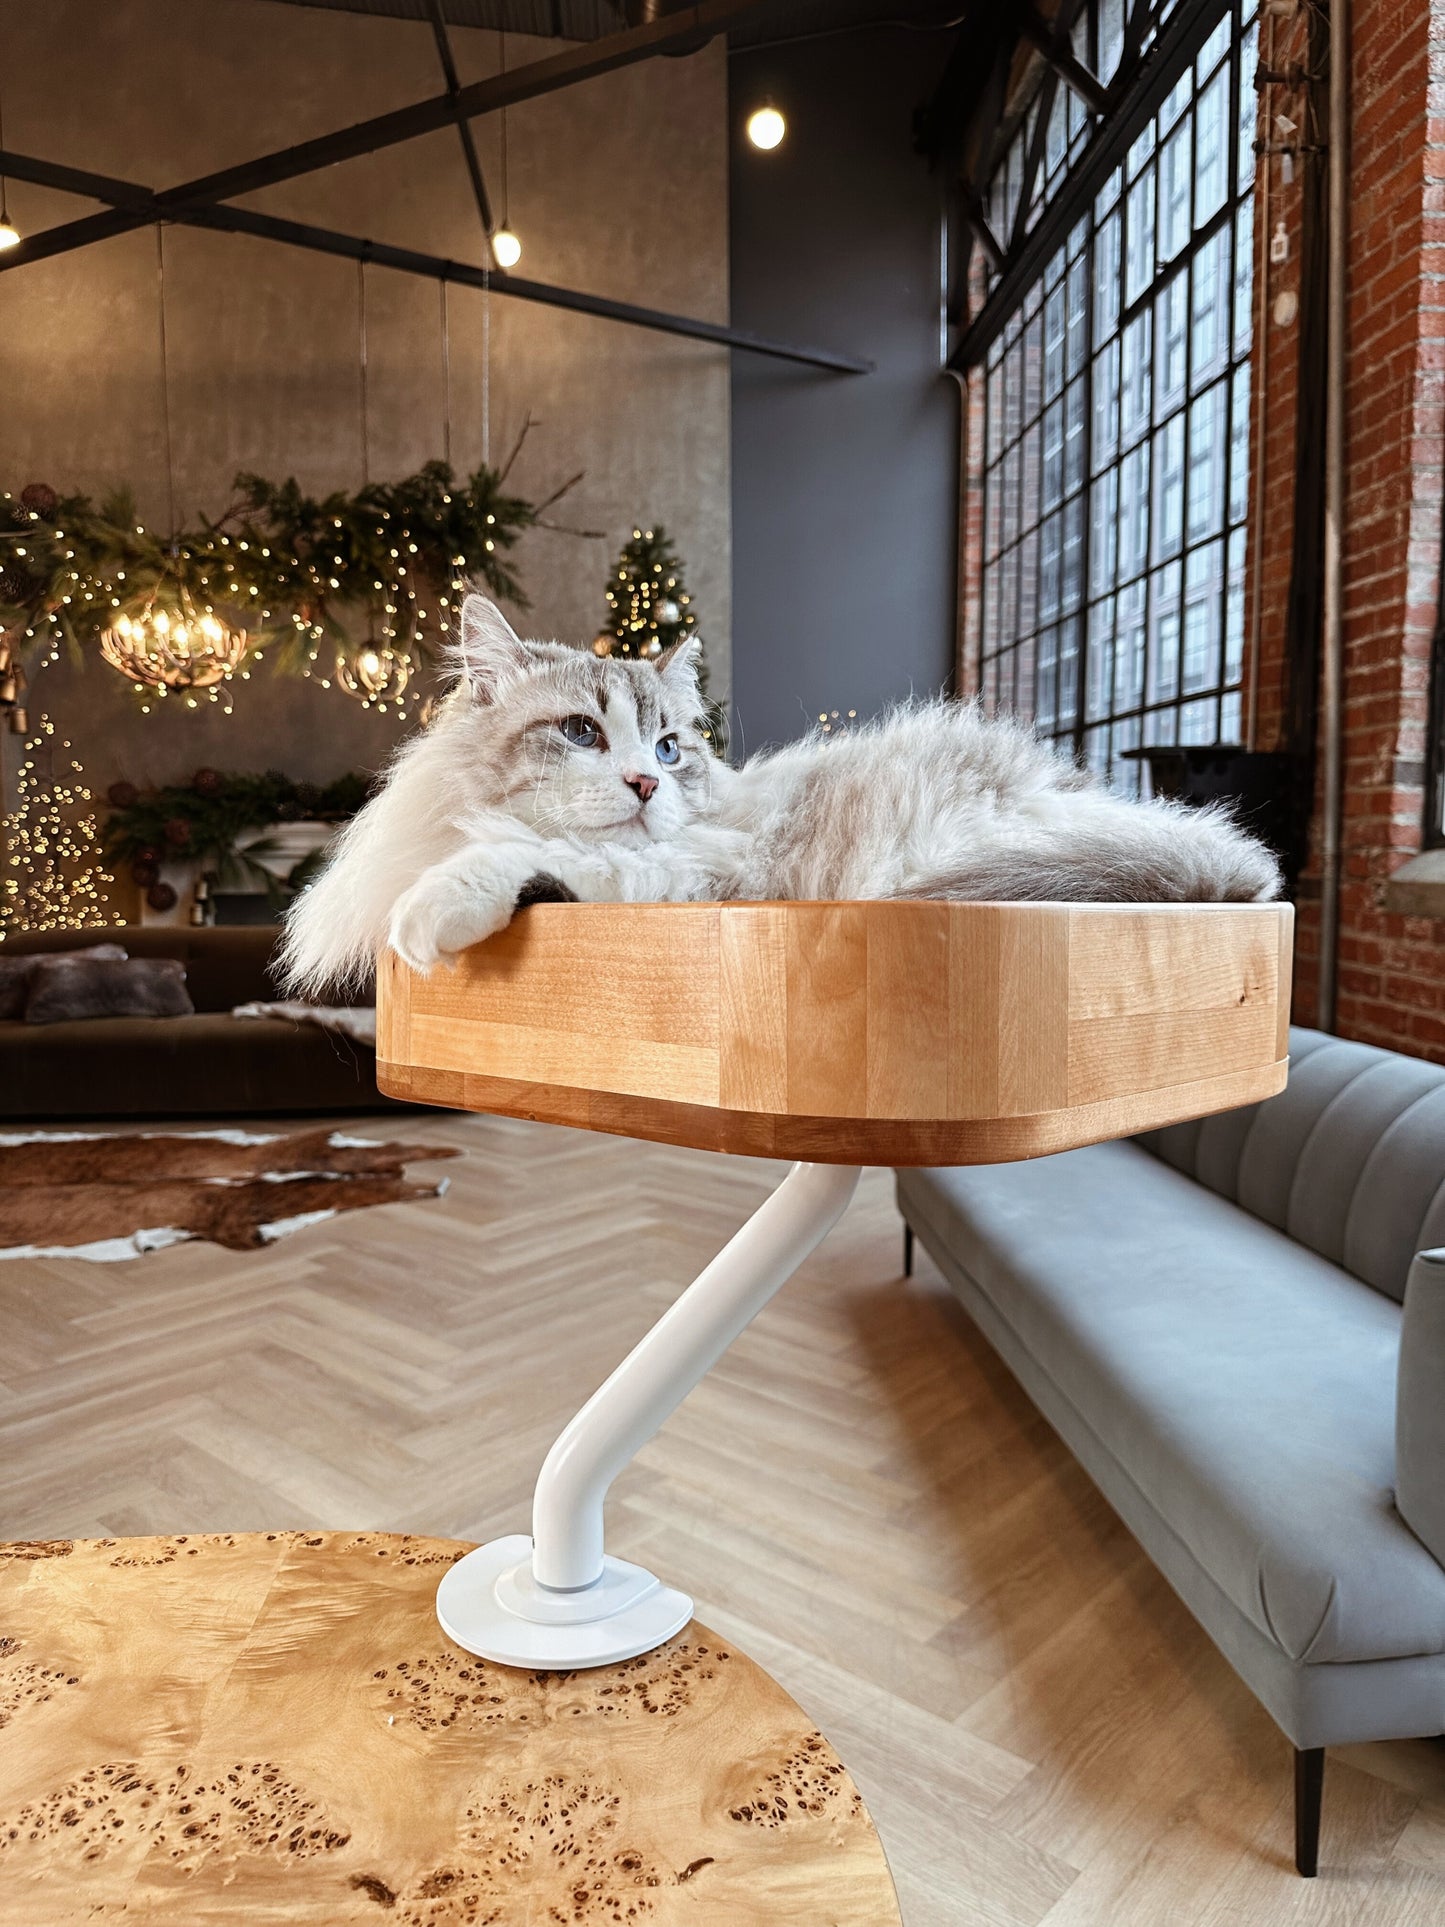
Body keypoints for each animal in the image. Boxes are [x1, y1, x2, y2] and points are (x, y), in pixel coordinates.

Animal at [279, 597, 1279, 994]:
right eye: (581, 733)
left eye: (670, 747)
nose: (646, 780)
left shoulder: (699, 870)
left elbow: (530, 857)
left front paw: (434, 911)